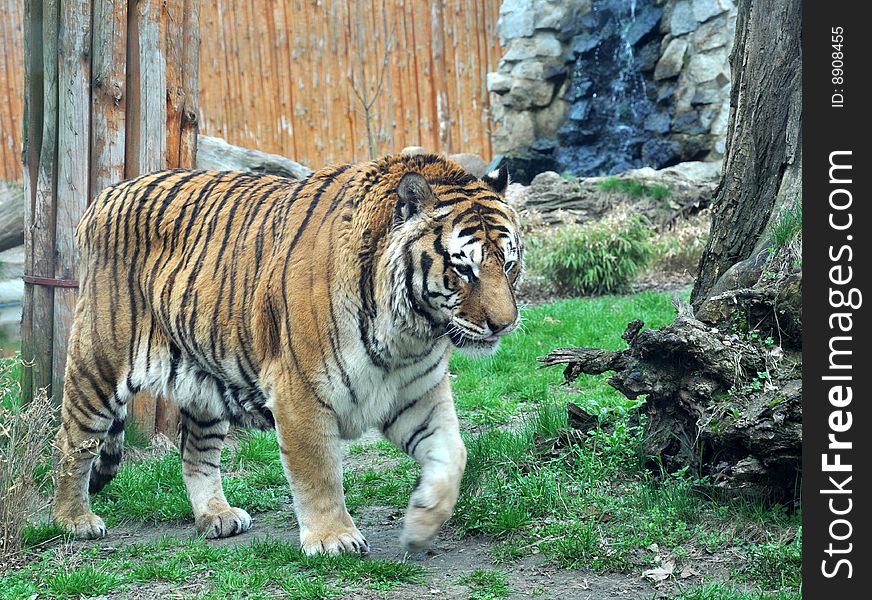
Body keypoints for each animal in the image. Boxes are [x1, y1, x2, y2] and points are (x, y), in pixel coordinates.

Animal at [54, 152, 524, 556]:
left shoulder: (418, 395)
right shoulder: (300, 391)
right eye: (464, 268)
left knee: (196, 453)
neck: (409, 333)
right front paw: (334, 539)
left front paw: (422, 522)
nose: (504, 324)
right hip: (97, 365)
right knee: (73, 444)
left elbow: (453, 455)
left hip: (204, 383)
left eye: (509, 264)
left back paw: (216, 516)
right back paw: (74, 520)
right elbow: (318, 472)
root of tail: (108, 192)